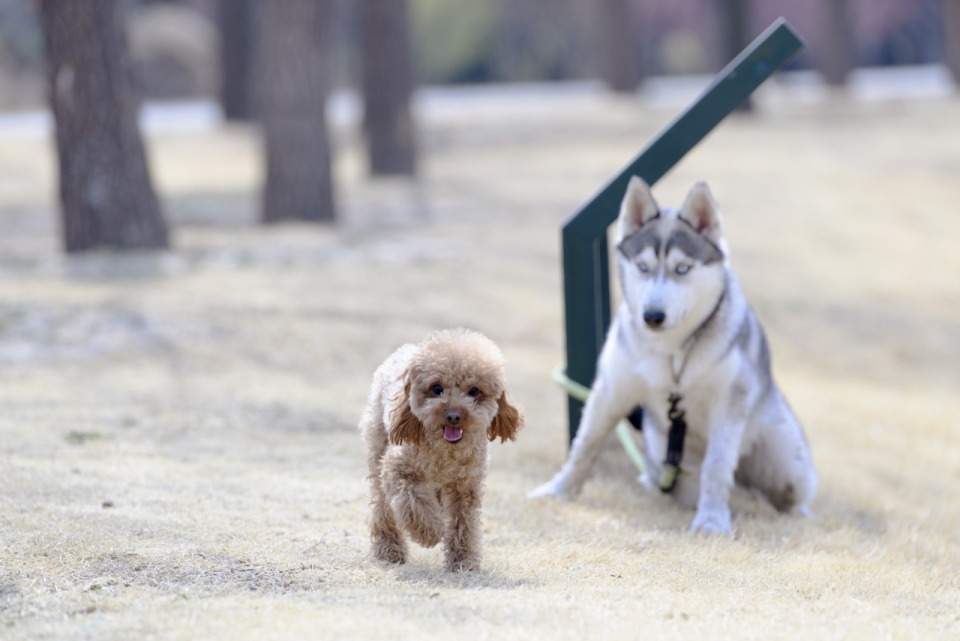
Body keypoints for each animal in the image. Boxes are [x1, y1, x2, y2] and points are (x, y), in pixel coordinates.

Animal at [362, 330, 524, 568]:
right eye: (437, 388)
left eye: (474, 390)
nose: (454, 416)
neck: (446, 453)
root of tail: (404, 349)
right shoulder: (398, 469)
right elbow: (414, 503)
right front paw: (430, 532)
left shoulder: (466, 485)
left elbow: (464, 522)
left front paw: (464, 561)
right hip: (378, 448)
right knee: (382, 505)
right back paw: (389, 550)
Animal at [532, 178, 816, 532]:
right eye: (643, 267)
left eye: (682, 269)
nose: (652, 315)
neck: (674, 352)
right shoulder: (611, 391)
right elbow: (584, 446)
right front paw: (559, 490)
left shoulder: (730, 402)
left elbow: (716, 467)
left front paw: (712, 521)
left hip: (786, 464)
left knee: (787, 491)